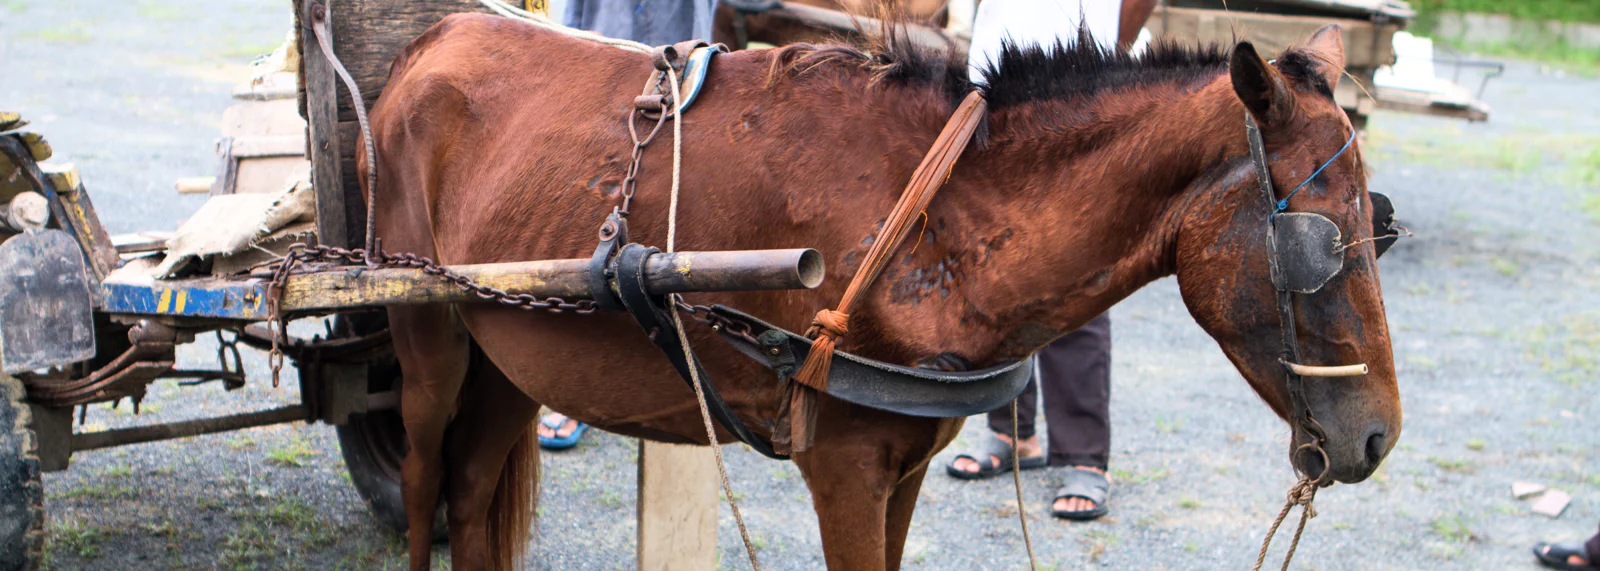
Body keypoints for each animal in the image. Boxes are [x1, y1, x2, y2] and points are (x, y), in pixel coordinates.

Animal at [363, 14, 1399, 570]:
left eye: (1379, 223)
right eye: (1324, 240)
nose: (1379, 436)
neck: (937, 223)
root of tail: (434, 38)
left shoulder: (904, 466)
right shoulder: (847, 466)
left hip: (509, 350)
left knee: (470, 483)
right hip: (427, 333)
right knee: (421, 474)